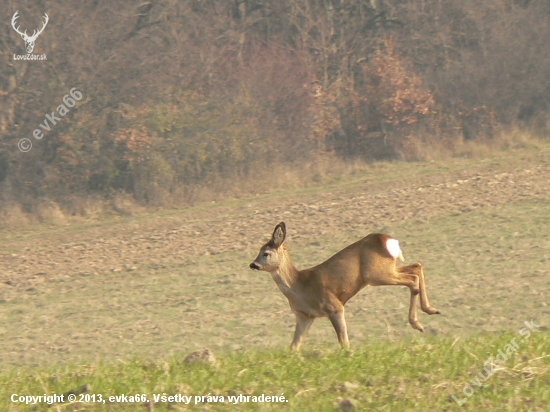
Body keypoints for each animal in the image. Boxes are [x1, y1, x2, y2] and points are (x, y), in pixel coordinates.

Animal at [249, 224, 440, 350]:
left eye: (265, 253)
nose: (253, 265)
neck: (299, 286)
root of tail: (388, 240)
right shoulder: (305, 316)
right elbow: (294, 346)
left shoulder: (334, 306)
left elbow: (344, 342)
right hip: (388, 269)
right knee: (417, 267)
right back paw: (430, 310)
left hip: (376, 275)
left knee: (412, 279)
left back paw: (417, 323)